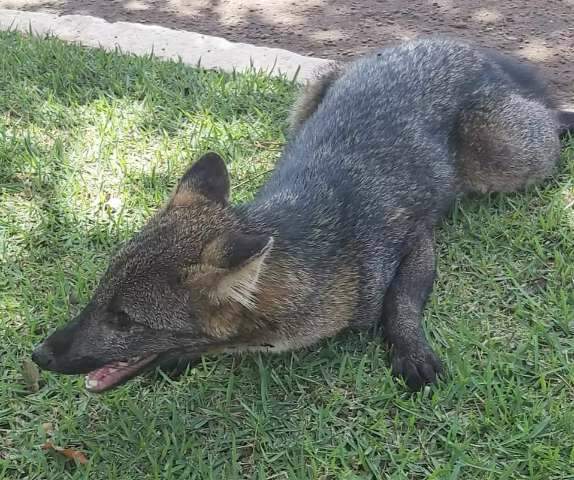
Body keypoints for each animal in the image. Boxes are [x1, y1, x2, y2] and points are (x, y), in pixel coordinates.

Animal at [31, 36, 574, 390]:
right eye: (99, 297)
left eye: (124, 320)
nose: (38, 354)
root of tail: (462, 46)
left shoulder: (413, 235)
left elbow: (400, 302)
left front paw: (410, 349)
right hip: (311, 92)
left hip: (507, 158)